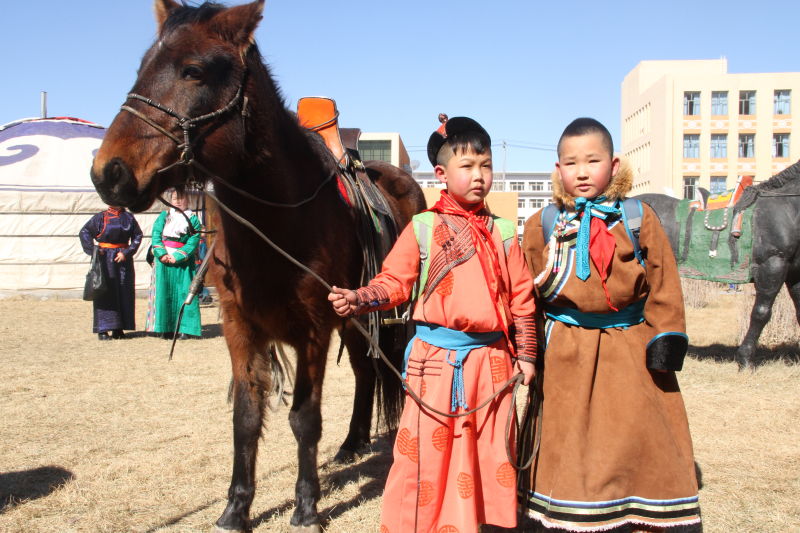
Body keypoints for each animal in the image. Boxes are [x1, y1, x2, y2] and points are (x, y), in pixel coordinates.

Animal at [89, 2, 424, 528]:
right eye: (142, 67)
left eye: (194, 70)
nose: (109, 172)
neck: (280, 212)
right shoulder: (240, 326)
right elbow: (245, 419)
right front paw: (236, 508)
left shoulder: (313, 327)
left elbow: (304, 418)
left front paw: (306, 507)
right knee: (365, 373)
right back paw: (351, 443)